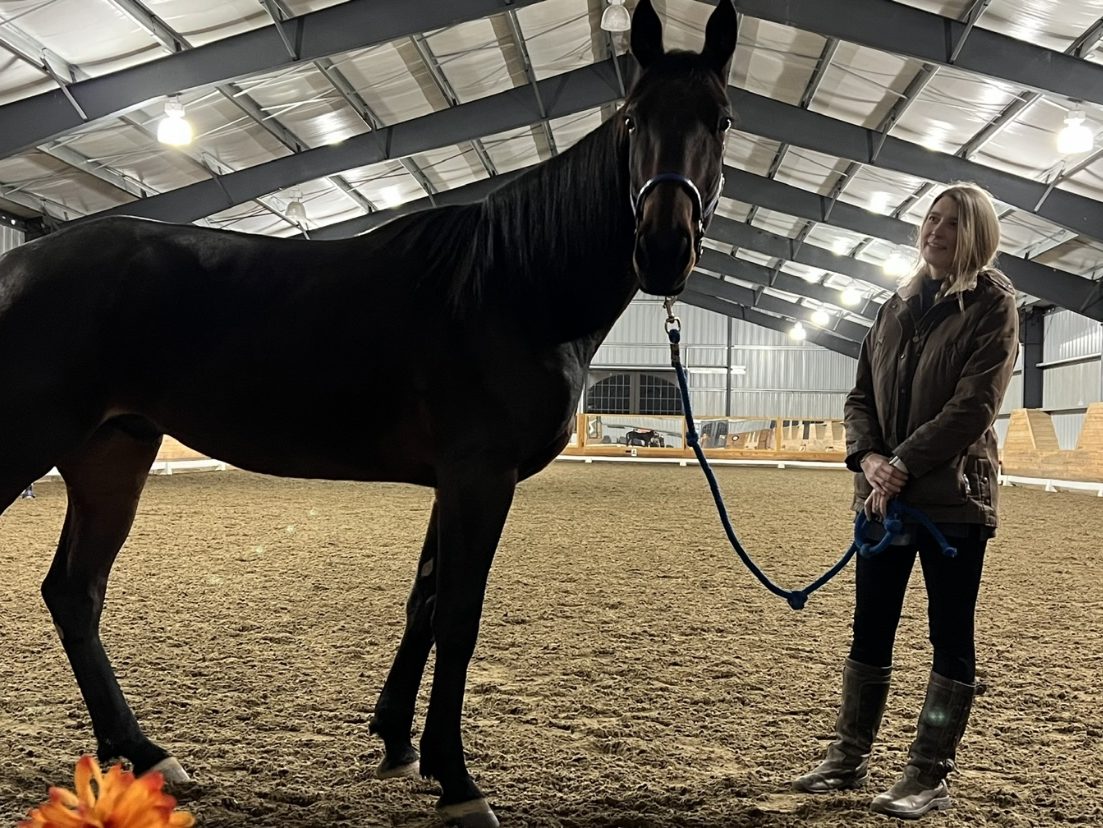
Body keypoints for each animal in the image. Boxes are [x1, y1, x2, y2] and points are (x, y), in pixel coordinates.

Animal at [0, 2, 737, 825]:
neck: (514, 284)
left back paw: (142, 750)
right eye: (633, 119)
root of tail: (16, 261)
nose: (664, 247)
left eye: (721, 119)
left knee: (74, 592)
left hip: (112, 455)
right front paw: (457, 780)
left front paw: (396, 741)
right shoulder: (480, 476)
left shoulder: (456, 481)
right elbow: (457, 615)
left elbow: (423, 602)